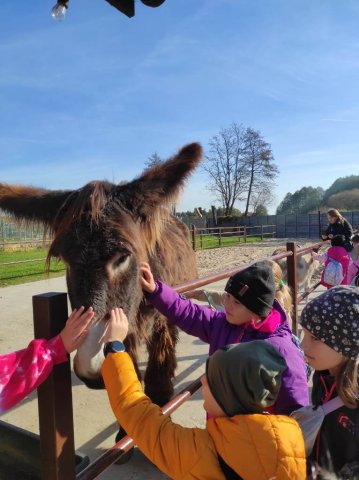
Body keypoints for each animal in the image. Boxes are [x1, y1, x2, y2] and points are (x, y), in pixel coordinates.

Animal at [0, 142, 202, 404]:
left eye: (123, 257)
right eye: (64, 259)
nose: (91, 365)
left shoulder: (162, 316)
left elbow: (159, 364)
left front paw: (160, 396)